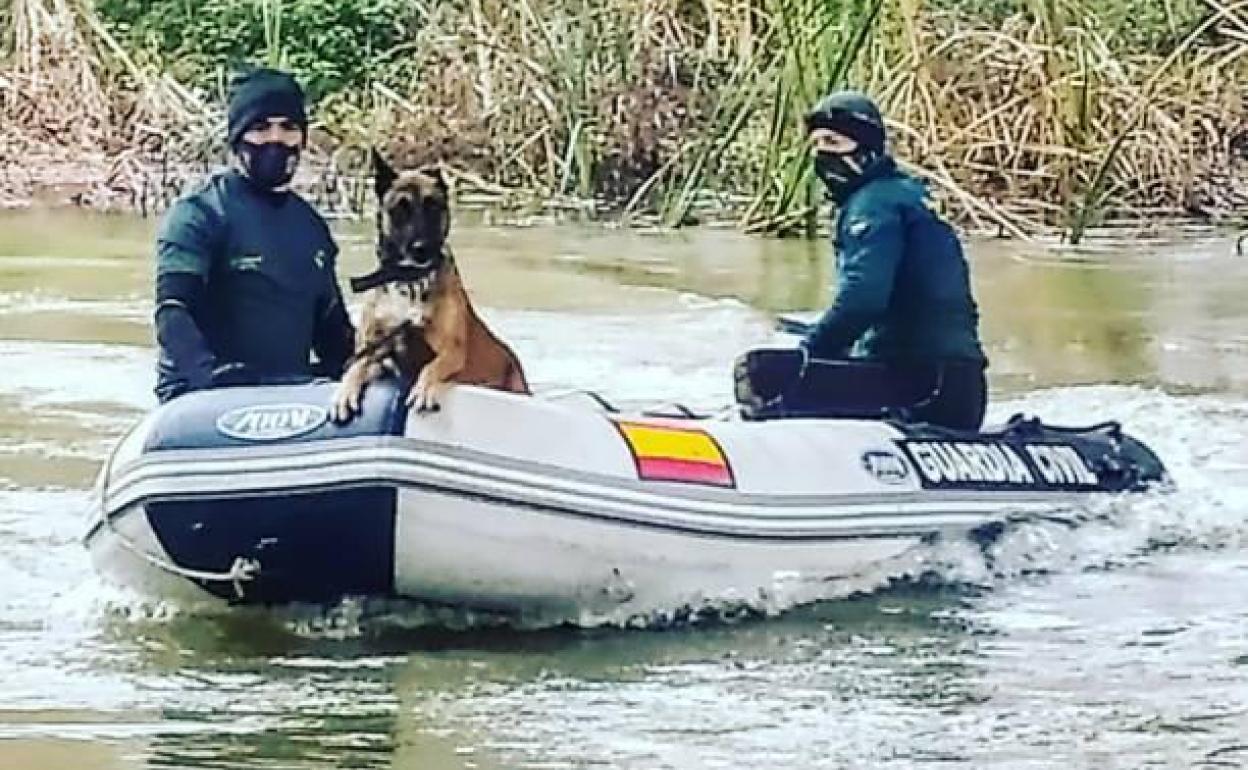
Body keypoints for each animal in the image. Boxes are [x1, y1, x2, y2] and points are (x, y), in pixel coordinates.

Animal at [329, 150, 529, 419]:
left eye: (432, 206)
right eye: (400, 209)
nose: (421, 248)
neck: (410, 280)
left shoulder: (452, 350)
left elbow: (433, 365)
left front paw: (423, 388)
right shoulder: (374, 349)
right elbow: (356, 365)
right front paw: (344, 391)